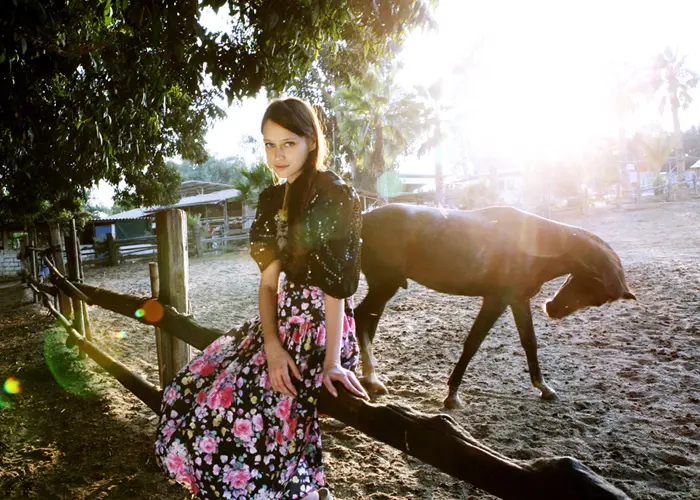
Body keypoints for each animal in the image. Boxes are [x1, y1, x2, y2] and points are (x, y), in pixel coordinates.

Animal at [356, 204, 636, 410]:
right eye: (589, 284)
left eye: (598, 300)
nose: (552, 309)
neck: (531, 242)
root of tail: (364, 218)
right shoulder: (496, 300)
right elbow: (473, 342)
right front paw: (452, 395)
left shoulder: (518, 300)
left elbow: (529, 342)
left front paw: (544, 388)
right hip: (384, 286)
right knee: (361, 318)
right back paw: (372, 380)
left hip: (383, 289)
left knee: (368, 322)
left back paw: (370, 379)